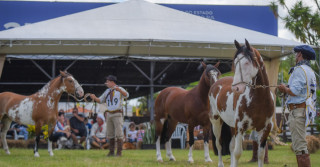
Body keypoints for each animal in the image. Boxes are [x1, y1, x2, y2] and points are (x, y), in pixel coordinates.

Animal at [209, 39, 274, 167]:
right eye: (235, 63)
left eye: (247, 63)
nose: (236, 88)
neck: (259, 101)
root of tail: (215, 83)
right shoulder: (240, 127)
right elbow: (237, 153)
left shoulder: (265, 128)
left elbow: (260, 155)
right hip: (216, 122)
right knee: (219, 145)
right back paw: (221, 164)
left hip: (231, 125)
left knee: (230, 146)